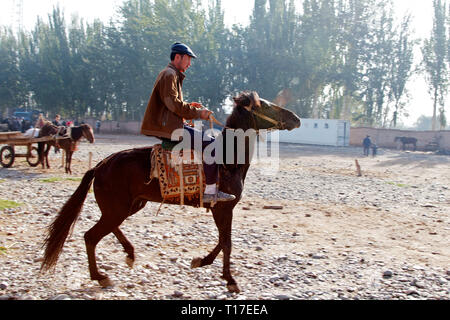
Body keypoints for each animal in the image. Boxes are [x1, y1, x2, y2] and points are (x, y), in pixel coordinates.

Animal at [41, 92, 302, 292]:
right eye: (265, 105)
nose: (296, 118)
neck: (228, 160)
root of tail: (101, 165)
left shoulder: (221, 210)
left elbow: (222, 240)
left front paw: (201, 261)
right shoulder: (223, 207)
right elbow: (227, 242)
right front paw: (230, 280)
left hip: (129, 206)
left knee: (109, 228)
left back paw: (129, 254)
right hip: (118, 209)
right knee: (91, 236)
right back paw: (101, 276)